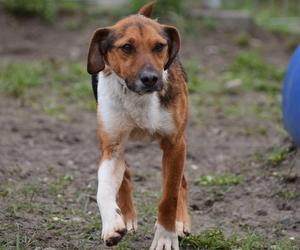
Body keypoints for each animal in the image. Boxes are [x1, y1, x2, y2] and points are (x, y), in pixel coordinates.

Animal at [86, 2, 190, 250]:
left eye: (159, 46)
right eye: (126, 47)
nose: (151, 78)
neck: (138, 97)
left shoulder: (175, 144)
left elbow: (170, 195)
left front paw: (166, 236)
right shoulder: (112, 146)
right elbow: (104, 188)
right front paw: (112, 225)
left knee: (182, 182)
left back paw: (181, 222)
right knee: (126, 174)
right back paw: (127, 216)